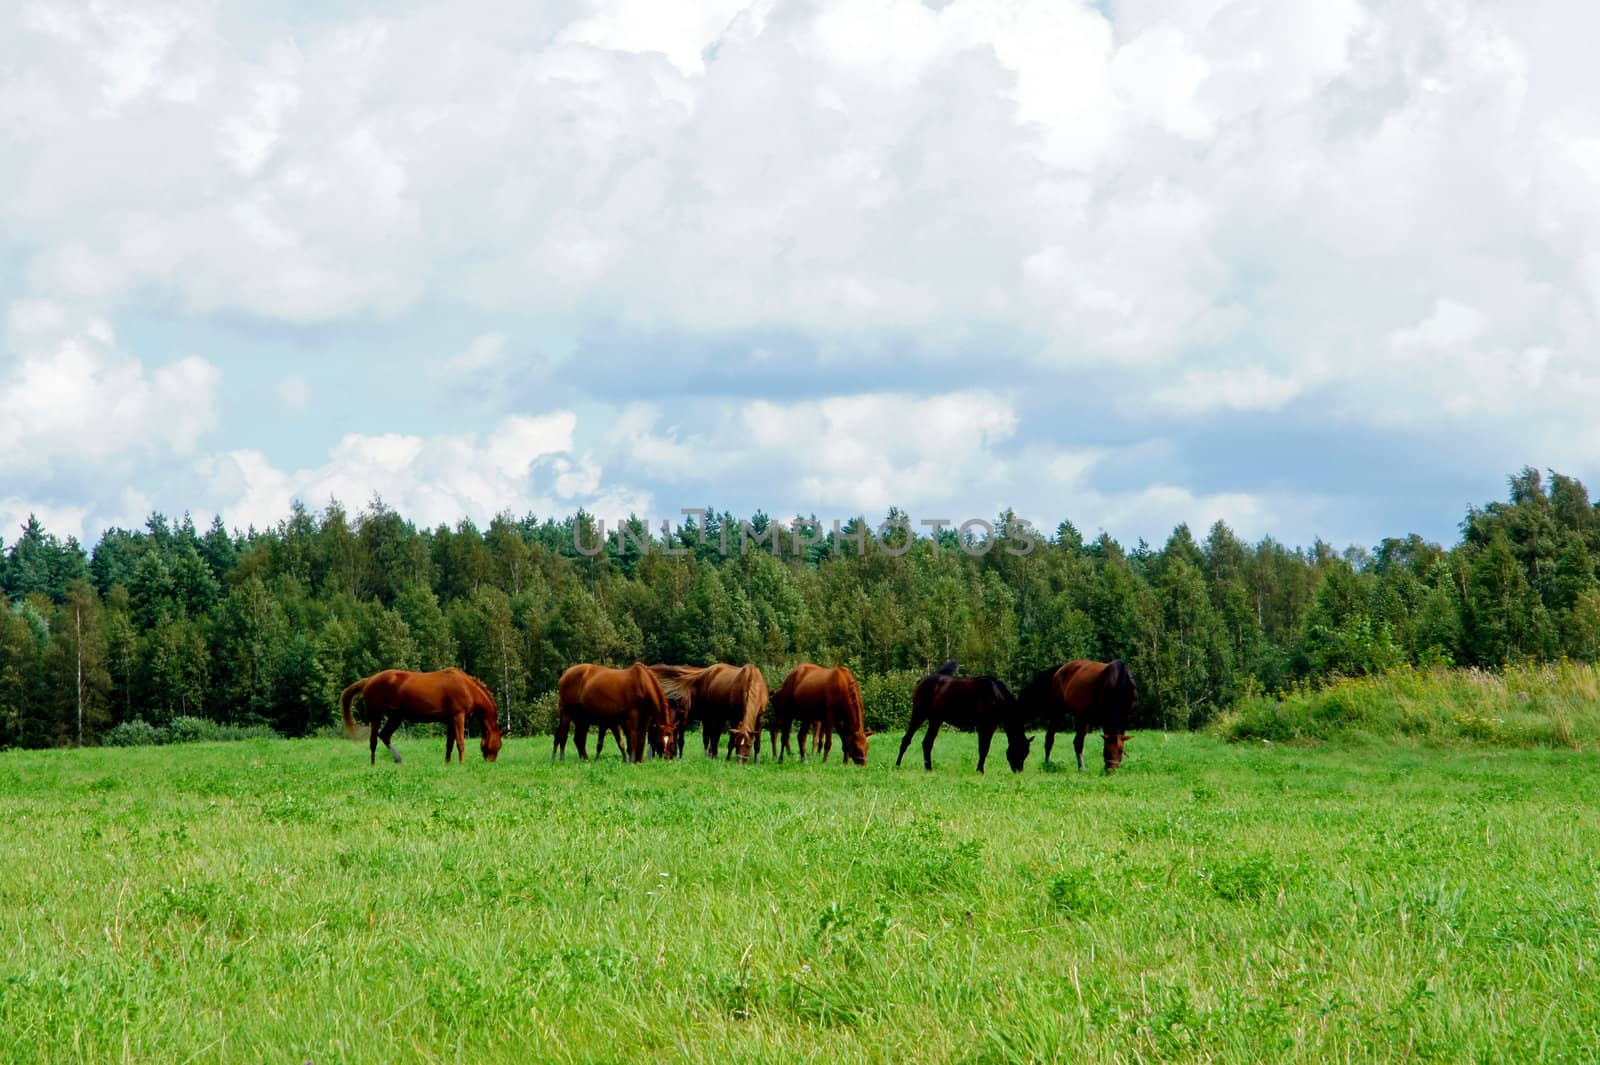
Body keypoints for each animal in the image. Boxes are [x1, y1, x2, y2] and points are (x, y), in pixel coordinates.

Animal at [340, 665, 502, 764]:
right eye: (498, 746)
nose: (490, 762)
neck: (467, 687)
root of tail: (369, 680)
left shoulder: (450, 720)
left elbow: (449, 744)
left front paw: (447, 763)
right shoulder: (458, 717)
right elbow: (460, 743)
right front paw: (462, 763)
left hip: (396, 717)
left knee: (385, 735)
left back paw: (399, 760)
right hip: (376, 714)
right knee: (373, 740)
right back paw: (373, 764)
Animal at [896, 655, 1030, 770]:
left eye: (1026, 753)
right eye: (1018, 749)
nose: (1018, 771)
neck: (995, 696)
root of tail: (921, 681)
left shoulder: (991, 726)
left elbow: (985, 748)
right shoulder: (984, 726)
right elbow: (983, 748)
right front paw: (980, 770)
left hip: (935, 719)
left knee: (927, 743)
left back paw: (928, 768)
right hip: (919, 714)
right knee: (906, 739)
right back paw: (898, 765)